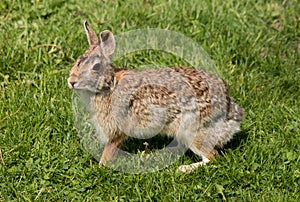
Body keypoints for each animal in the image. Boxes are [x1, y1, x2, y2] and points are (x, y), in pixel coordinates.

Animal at [67, 21, 244, 173]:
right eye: (78, 61)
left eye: (96, 67)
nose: (71, 81)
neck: (110, 85)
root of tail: (231, 114)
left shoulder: (117, 131)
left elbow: (109, 151)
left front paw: (100, 166)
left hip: (193, 131)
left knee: (213, 157)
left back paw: (183, 168)